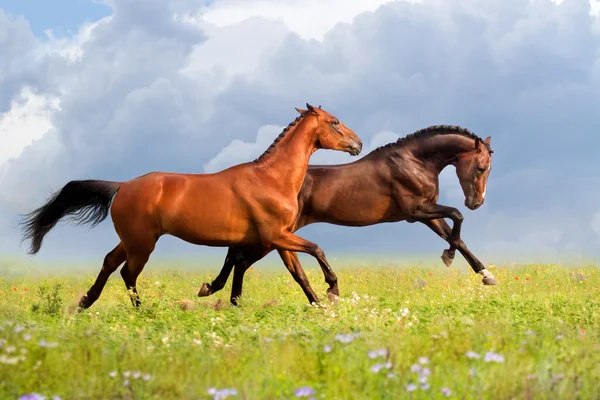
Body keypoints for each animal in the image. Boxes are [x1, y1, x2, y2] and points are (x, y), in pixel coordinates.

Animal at [19, 104, 360, 310]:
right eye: (335, 122)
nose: (357, 144)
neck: (271, 179)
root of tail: (122, 185)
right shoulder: (275, 236)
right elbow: (316, 249)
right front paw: (332, 291)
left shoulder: (278, 238)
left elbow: (297, 273)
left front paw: (317, 305)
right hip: (142, 244)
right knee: (127, 272)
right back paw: (141, 311)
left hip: (131, 240)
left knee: (109, 263)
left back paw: (86, 302)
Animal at [200, 126, 496, 304]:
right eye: (481, 167)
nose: (476, 203)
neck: (414, 162)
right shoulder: (416, 211)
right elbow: (457, 216)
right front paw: (450, 257)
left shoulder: (427, 212)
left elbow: (456, 235)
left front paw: (485, 274)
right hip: (274, 236)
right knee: (240, 258)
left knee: (239, 258)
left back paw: (227, 296)